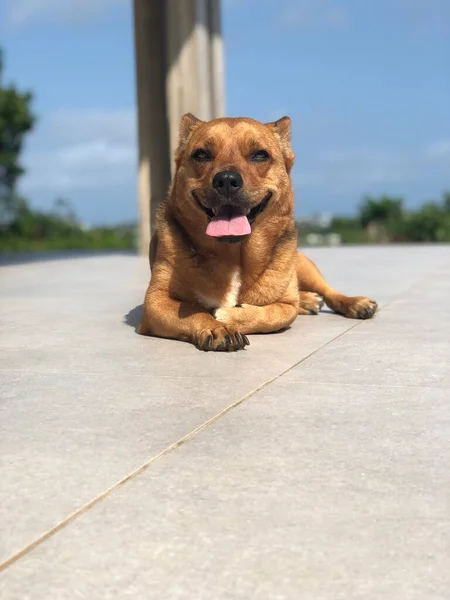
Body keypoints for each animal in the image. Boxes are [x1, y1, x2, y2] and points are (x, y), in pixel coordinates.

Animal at [139, 112, 378, 352]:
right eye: (201, 155)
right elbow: (191, 310)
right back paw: (309, 300)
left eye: (260, 155)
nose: (226, 179)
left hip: (304, 267)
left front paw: (229, 315)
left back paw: (354, 302)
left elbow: (272, 314)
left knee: (328, 292)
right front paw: (217, 327)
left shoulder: (285, 307)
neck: (233, 254)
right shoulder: (155, 301)